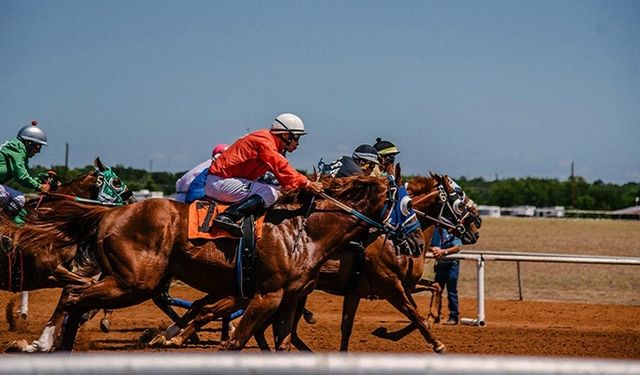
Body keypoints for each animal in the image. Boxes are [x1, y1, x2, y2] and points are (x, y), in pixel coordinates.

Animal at [0, 158, 134, 352]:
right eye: (116, 182)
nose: (133, 202)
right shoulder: (51, 271)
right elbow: (76, 289)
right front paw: (41, 343)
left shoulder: (68, 269)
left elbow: (71, 291)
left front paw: (44, 342)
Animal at [28, 173, 420, 352]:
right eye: (407, 205)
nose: (416, 244)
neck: (304, 230)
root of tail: (110, 213)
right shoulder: (267, 295)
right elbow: (234, 341)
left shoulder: (288, 299)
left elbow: (281, 343)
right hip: (134, 283)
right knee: (76, 298)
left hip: (130, 280)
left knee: (76, 298)